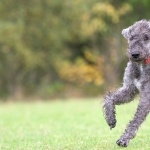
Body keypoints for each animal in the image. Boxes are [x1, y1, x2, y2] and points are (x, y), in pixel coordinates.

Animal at [103, 19, 150, 147]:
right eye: (132, 37)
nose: (135, 54)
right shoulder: (129, 90)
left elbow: (136, 119)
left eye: (146, 37)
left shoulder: (146, 96)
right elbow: (110, 98)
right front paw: (111, 119)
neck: (142, 65)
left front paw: (124, 139)